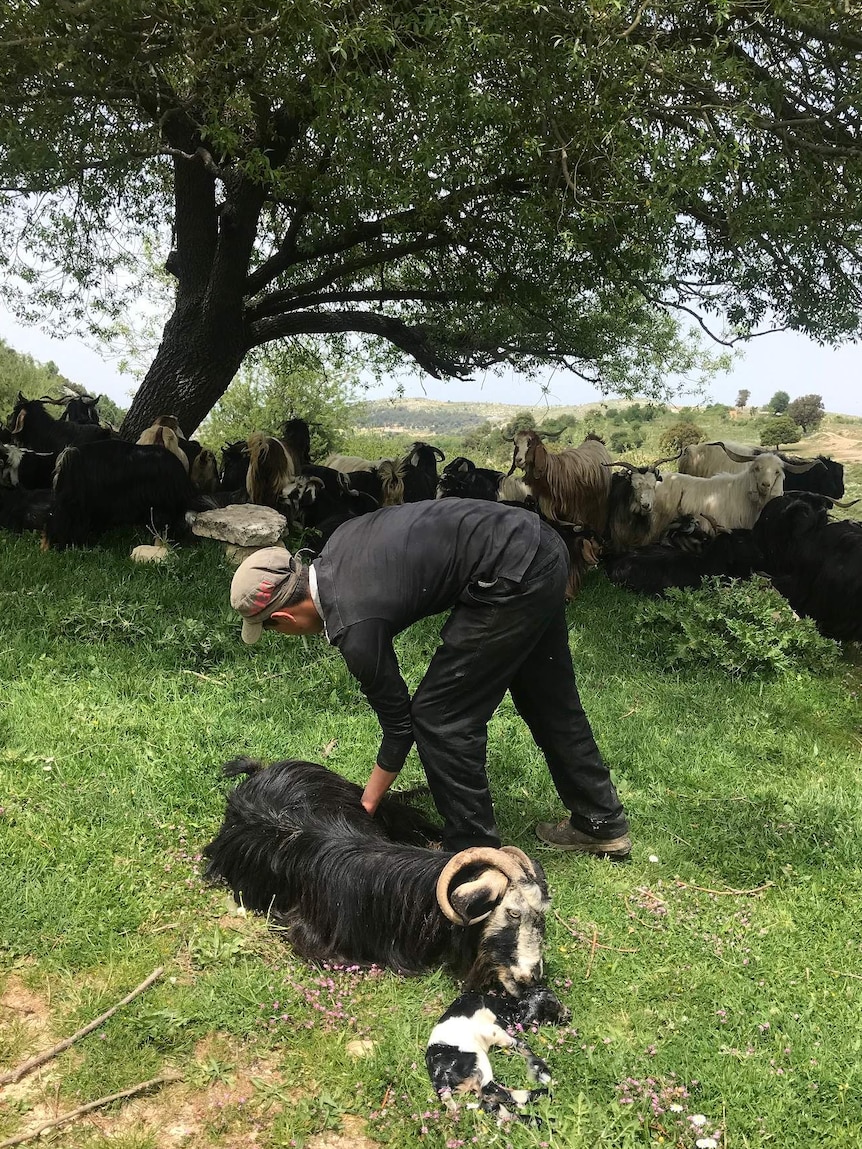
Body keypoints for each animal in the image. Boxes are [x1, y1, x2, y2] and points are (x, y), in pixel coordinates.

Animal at [427, 988, 574, 1121]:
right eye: (553, 1002)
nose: (569, 1013)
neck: (508, 1006)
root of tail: (440, 1080)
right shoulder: (497, 1033)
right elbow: (519, 1043)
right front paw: (543, 1072)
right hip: (479, 1059)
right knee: (491, 1091)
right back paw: (541, 1095)